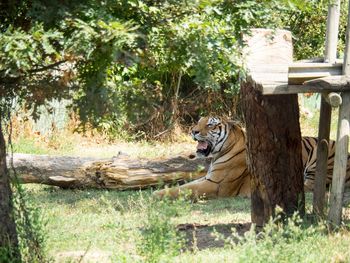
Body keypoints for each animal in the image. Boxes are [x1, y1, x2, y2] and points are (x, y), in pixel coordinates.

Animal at [154, 116, 350, 199]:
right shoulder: (208, 178)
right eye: (198, 122)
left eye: (210, 125)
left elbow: (184, 189)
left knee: (310, 186)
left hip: (317, 158)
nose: (193, 131)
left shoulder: (216, 184)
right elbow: (184, 185)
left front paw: (156, 195)